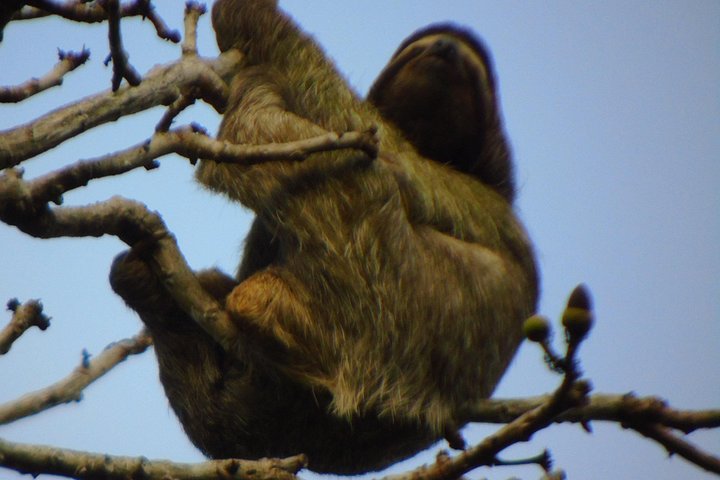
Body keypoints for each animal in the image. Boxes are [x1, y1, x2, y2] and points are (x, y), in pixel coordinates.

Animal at [110, 0, 538, 474]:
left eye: (471, 67)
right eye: (417, 48)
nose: (444, 47)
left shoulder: (470, 195)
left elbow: (366, 132)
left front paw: (252, 15)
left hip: (391, 301)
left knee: (300, 149)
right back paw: (151, 285)